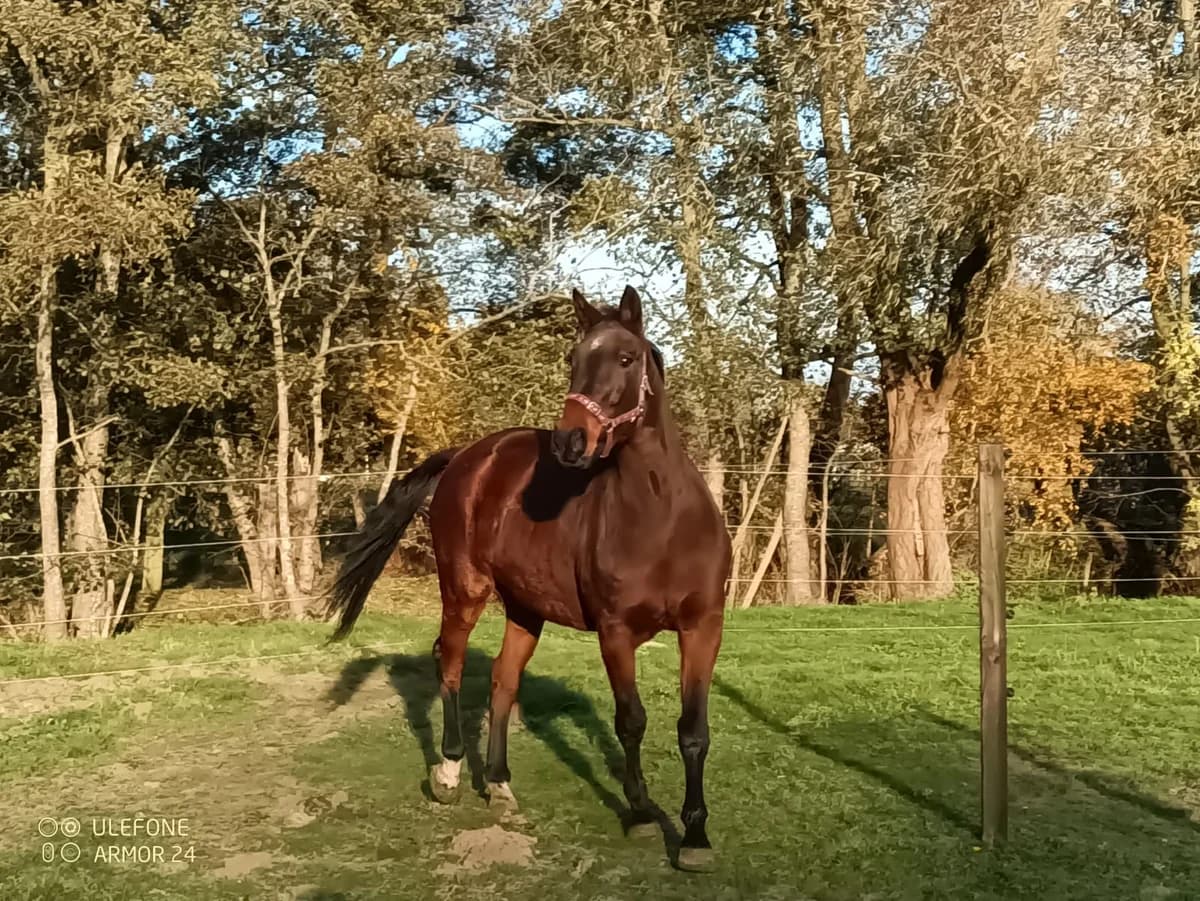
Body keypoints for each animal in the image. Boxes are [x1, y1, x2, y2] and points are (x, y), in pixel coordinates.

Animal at [326, 285, 731, 872]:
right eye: (573, 359)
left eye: (626, 358)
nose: (570, 442)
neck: (662, 520)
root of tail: (469, 456)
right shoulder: (615, 633)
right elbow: (630, 721)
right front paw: (639, 813)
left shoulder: (703, 628)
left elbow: (693, 731)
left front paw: (696, 837)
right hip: (465, 592)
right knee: (450, 666)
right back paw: (449, 773)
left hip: (525, 608)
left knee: (503, 679)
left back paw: (497, 782)